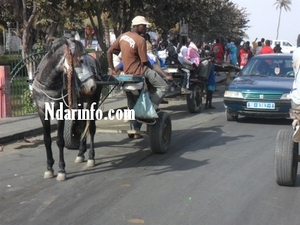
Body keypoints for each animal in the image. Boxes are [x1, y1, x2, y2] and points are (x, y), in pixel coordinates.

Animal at [32, 37, 102, 181]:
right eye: (80, 61)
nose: (92, 86)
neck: (48, 84)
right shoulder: (42, 111)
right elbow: (47, 139)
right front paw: (49, 168)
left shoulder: (60, 112)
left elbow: (59, 141)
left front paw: (61, 170)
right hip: (80, 101)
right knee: (83, 125)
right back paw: (80, 153)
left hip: (93, 100)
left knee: (91, 127)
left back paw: (91, 157)